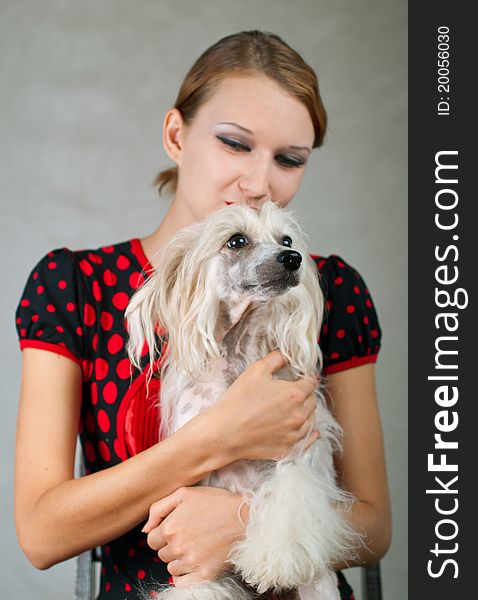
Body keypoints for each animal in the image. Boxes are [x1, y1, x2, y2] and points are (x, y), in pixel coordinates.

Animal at [125, 203, 360, 600]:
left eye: (286, 240)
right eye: (236, 240)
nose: (293, 259)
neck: (240, 357)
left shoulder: (299, 454)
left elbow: (289, 499)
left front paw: (275, 559)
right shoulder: (190, 476)